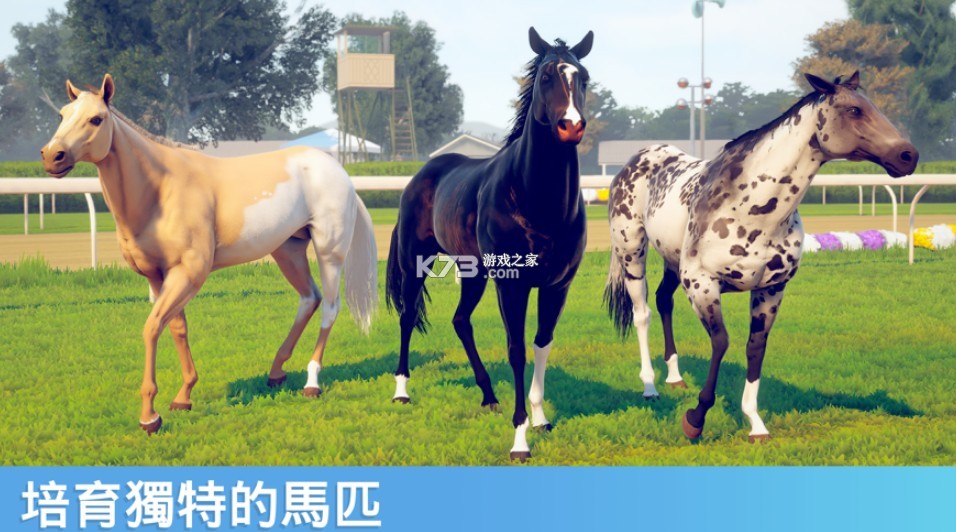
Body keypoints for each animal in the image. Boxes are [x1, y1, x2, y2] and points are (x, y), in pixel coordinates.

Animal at [40, 74, 378, 434]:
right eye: (62, 114)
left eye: (96, 119)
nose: (52, 156)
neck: (161, 191)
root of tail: (340, 173)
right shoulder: (159, 276)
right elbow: (176, 327)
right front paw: (183, 397)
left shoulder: (189, 273)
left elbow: (152, 327)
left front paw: (150, 416)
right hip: (288, 251)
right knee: (309, 299)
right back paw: (276, 372)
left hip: (330, 252)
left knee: (329, 307)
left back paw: (311, 382)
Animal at [385, 28, 593, 461]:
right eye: (546, 75)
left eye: (583, 77)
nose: (571, 126)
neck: (532, 198)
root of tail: (420, 176)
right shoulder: (511, 286)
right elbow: (516, 349)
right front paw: (520, 440)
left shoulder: (556, 286)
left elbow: (542, 344)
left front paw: (540, 419)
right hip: (417, 262)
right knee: (407, 316)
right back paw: (402, 391)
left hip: (474, 272)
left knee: (460, 321)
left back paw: (488, 396)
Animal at [604, 72, 918, 442]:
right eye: (854, 109)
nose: (908, 155)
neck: (752, 208)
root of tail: (636, 160)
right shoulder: (702, 284)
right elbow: (721, 342)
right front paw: (695, 419)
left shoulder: (771, 289)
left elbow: (755, 348)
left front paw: (755, 422)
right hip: (632, 254)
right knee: (642, 313)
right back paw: (650, 385)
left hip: (671, 260)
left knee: (664, 300)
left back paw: (674, 376)